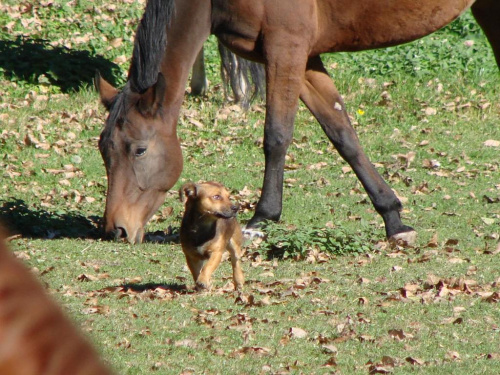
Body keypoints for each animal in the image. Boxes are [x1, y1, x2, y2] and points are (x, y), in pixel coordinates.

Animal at [94, 0, 500, 244]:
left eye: (140, 150)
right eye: (103, 151)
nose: (117, 229)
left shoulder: (285, 48)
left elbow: (276, 135)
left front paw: (261, 219)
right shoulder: (301, 59)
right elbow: (343, 134)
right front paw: (393, 218)